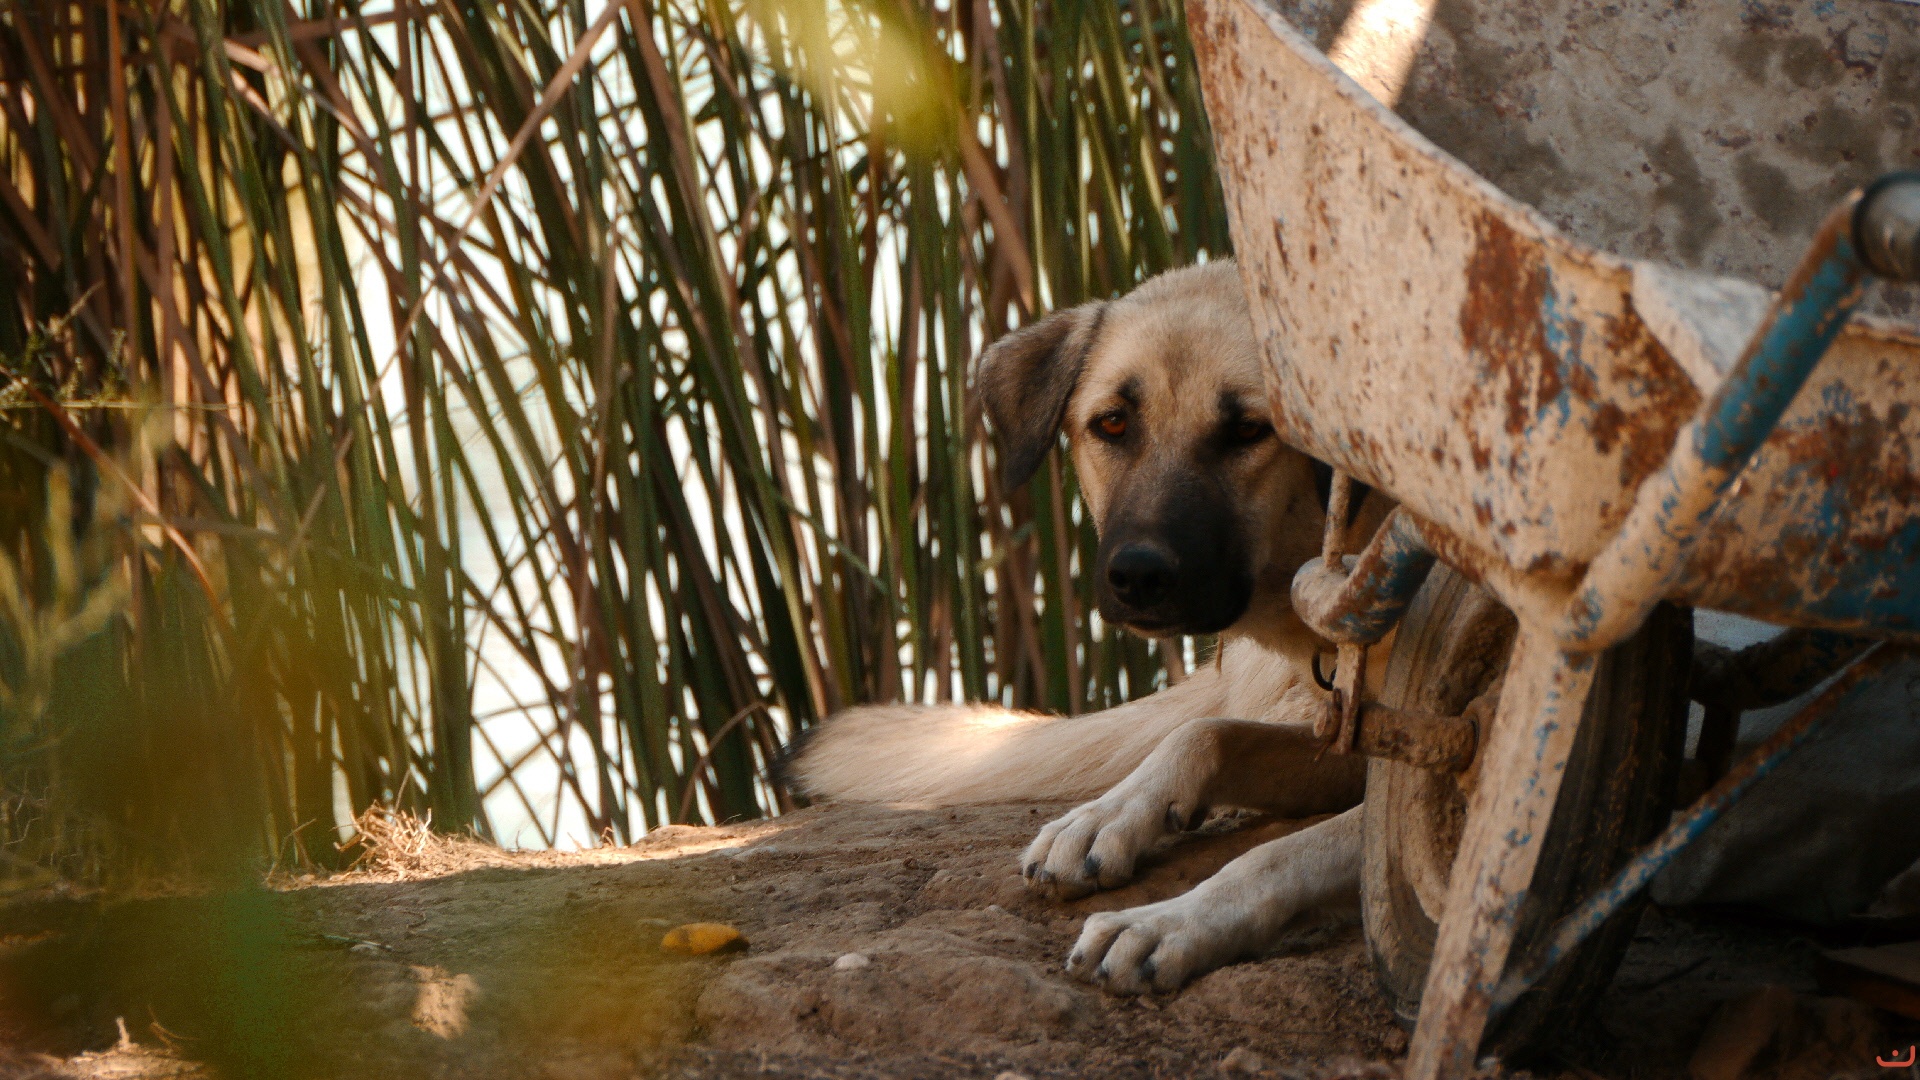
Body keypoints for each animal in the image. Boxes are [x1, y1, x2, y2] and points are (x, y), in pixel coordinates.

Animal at [793, 260, 1393, 994]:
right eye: (1112, 424)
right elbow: (1203, 733)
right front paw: (1104, 816)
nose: (1138, 575)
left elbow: (1281, 853)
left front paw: (1171, 922)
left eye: (1251, 431)